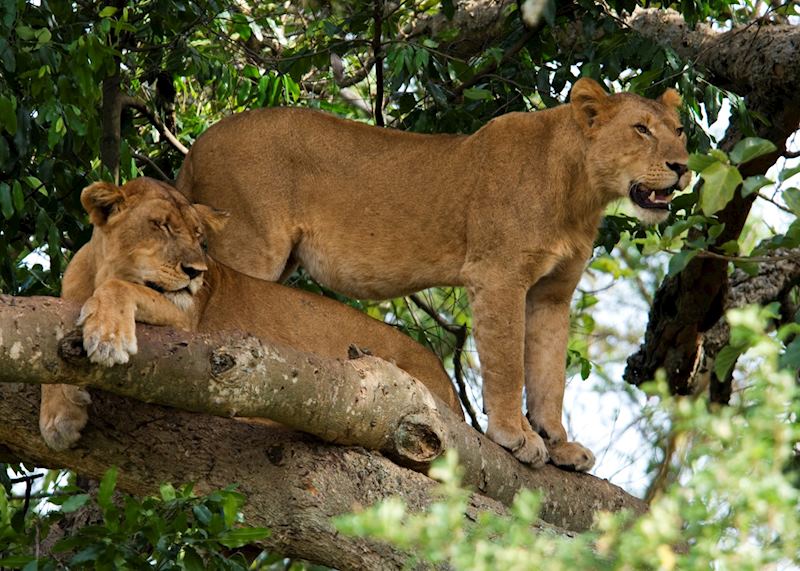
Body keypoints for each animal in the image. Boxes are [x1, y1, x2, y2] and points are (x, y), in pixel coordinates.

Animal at [40, 178, 461, 451]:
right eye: (161, 226)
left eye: (199, 238)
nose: (197, 272)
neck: (101, 270)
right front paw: (59, 418)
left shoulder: (186, 320)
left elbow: (121, 289)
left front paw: (108, 338)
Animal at [175, 78, 690, 472]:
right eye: (641, 129)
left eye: (680, 130)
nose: (682, 167)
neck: (580, 191)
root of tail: (197, 146)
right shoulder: (499, 276)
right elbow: (508, 365)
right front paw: (514, 434)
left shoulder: (552, 294)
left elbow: (549, 375)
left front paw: (559, 443)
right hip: (249, 245)